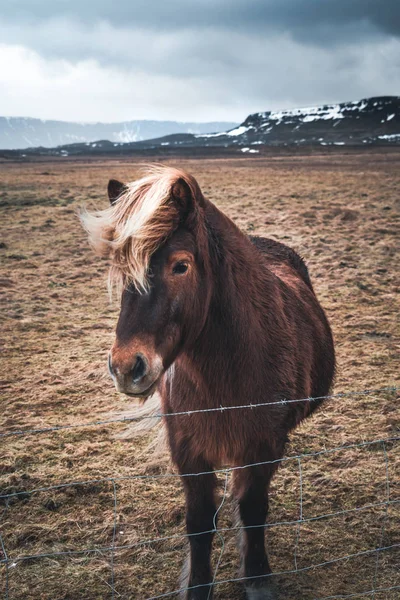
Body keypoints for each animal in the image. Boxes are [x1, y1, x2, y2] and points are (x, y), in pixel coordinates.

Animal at [80, 165, 334, 600]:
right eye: (122, 267)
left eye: (180, 265)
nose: (126, 367)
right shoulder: (188, 450)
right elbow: (199, 522)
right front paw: (198, 585)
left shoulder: (263, 445)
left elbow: (252, 509)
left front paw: (257, 577)